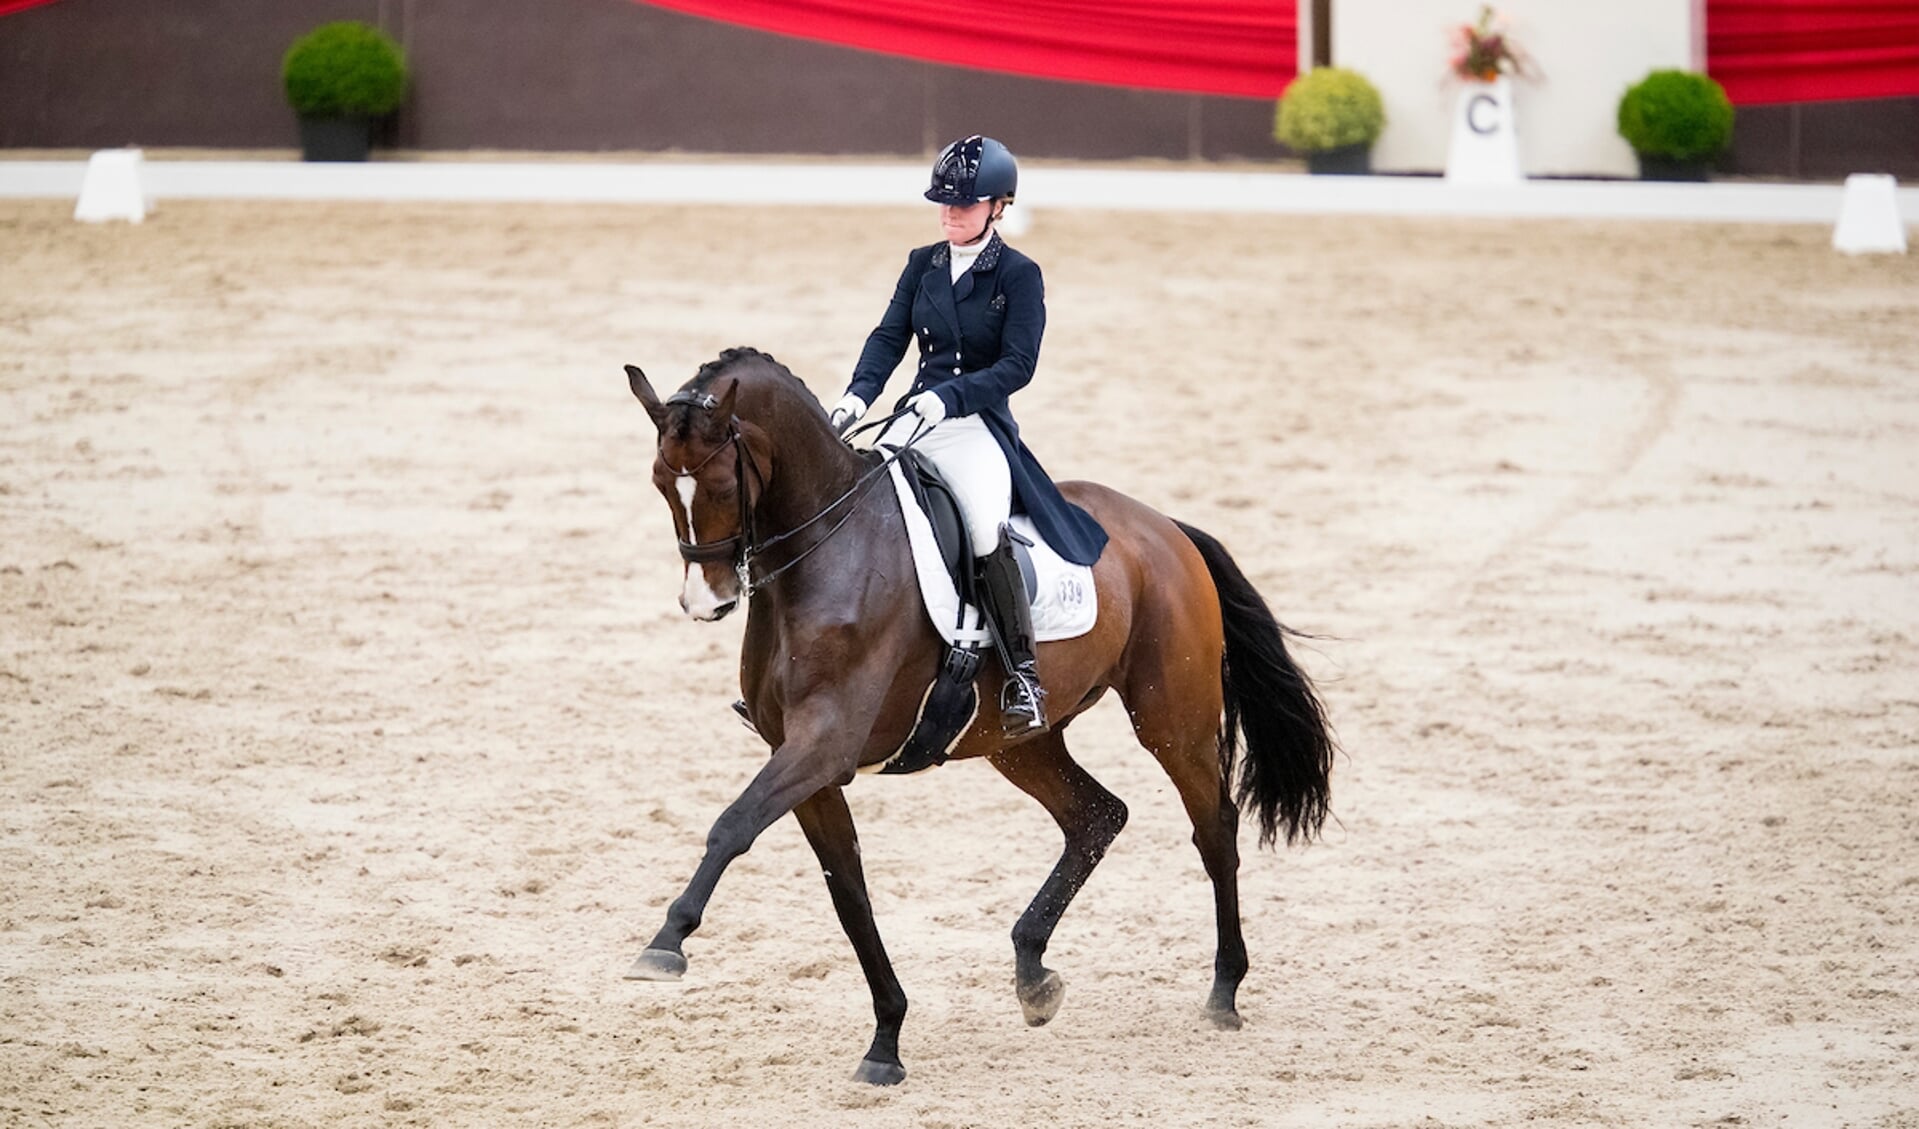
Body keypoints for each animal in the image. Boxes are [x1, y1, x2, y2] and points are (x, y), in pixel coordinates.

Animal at [621, 345, 1327, 1082]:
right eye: (660, 483)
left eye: (721, 483)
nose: (705, 602)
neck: (823, 554)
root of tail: (1164, 528)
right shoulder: (807, 763)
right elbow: (848, 893)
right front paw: (886, 1041)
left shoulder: (822, 744)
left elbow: (732, 826)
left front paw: (666, 942)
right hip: (1018, 740)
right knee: (1096, 815)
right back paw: (1033, 974)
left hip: (1172, 720)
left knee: (1213, 826)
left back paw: (1223, 992)